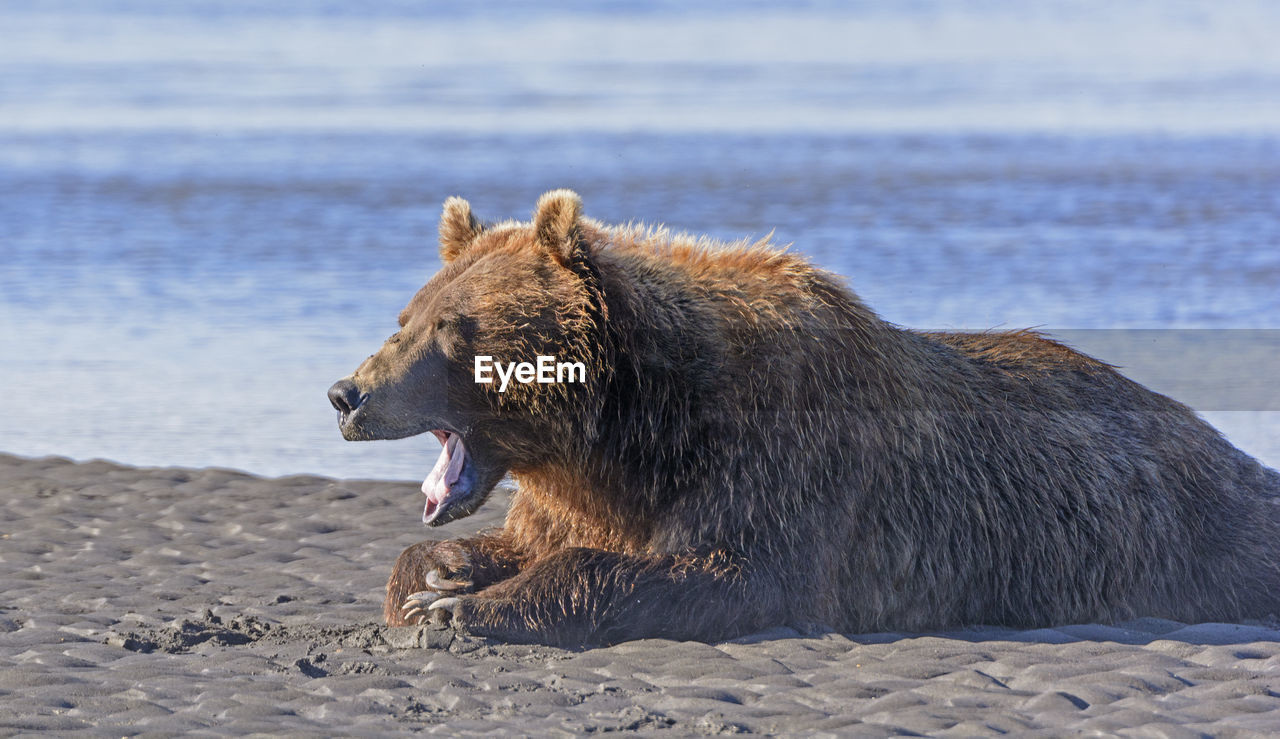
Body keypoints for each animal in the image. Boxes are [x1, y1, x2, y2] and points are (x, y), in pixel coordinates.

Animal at [328, 189, 1280, 648]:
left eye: (455, 327)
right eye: (406, 315)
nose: (348, 394)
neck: (628, 433)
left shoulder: (775, 464)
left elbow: (719, 572)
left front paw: (463, 611)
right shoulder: (578, 495)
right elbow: (513, 540)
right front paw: (437, 580)